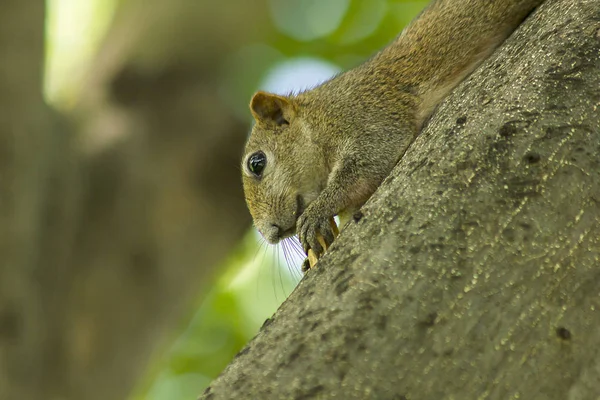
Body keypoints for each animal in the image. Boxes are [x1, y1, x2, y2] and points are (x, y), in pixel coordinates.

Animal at [240, 0, 544, 268]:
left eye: (257, 163)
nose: (271, 234)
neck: (318, 119)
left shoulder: (366, 117)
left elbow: (367, 166)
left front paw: (317, 211)